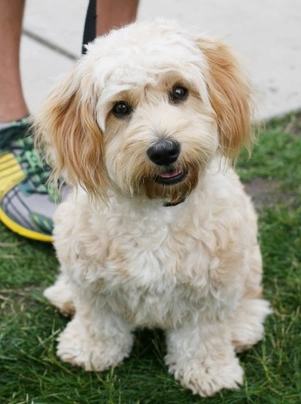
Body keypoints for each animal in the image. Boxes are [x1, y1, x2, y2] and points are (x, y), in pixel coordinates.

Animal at [34, 19, 270, 398]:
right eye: (120, 108)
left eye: (179, 91)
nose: (164, 150)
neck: (158, 205)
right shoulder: (92, 281)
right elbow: (98, 319)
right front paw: (90, 350)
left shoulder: (211, 290)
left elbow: (203, 336)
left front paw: (208, 371)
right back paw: (64, 295)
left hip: (246, 266)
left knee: (251, 302)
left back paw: (241, 329)